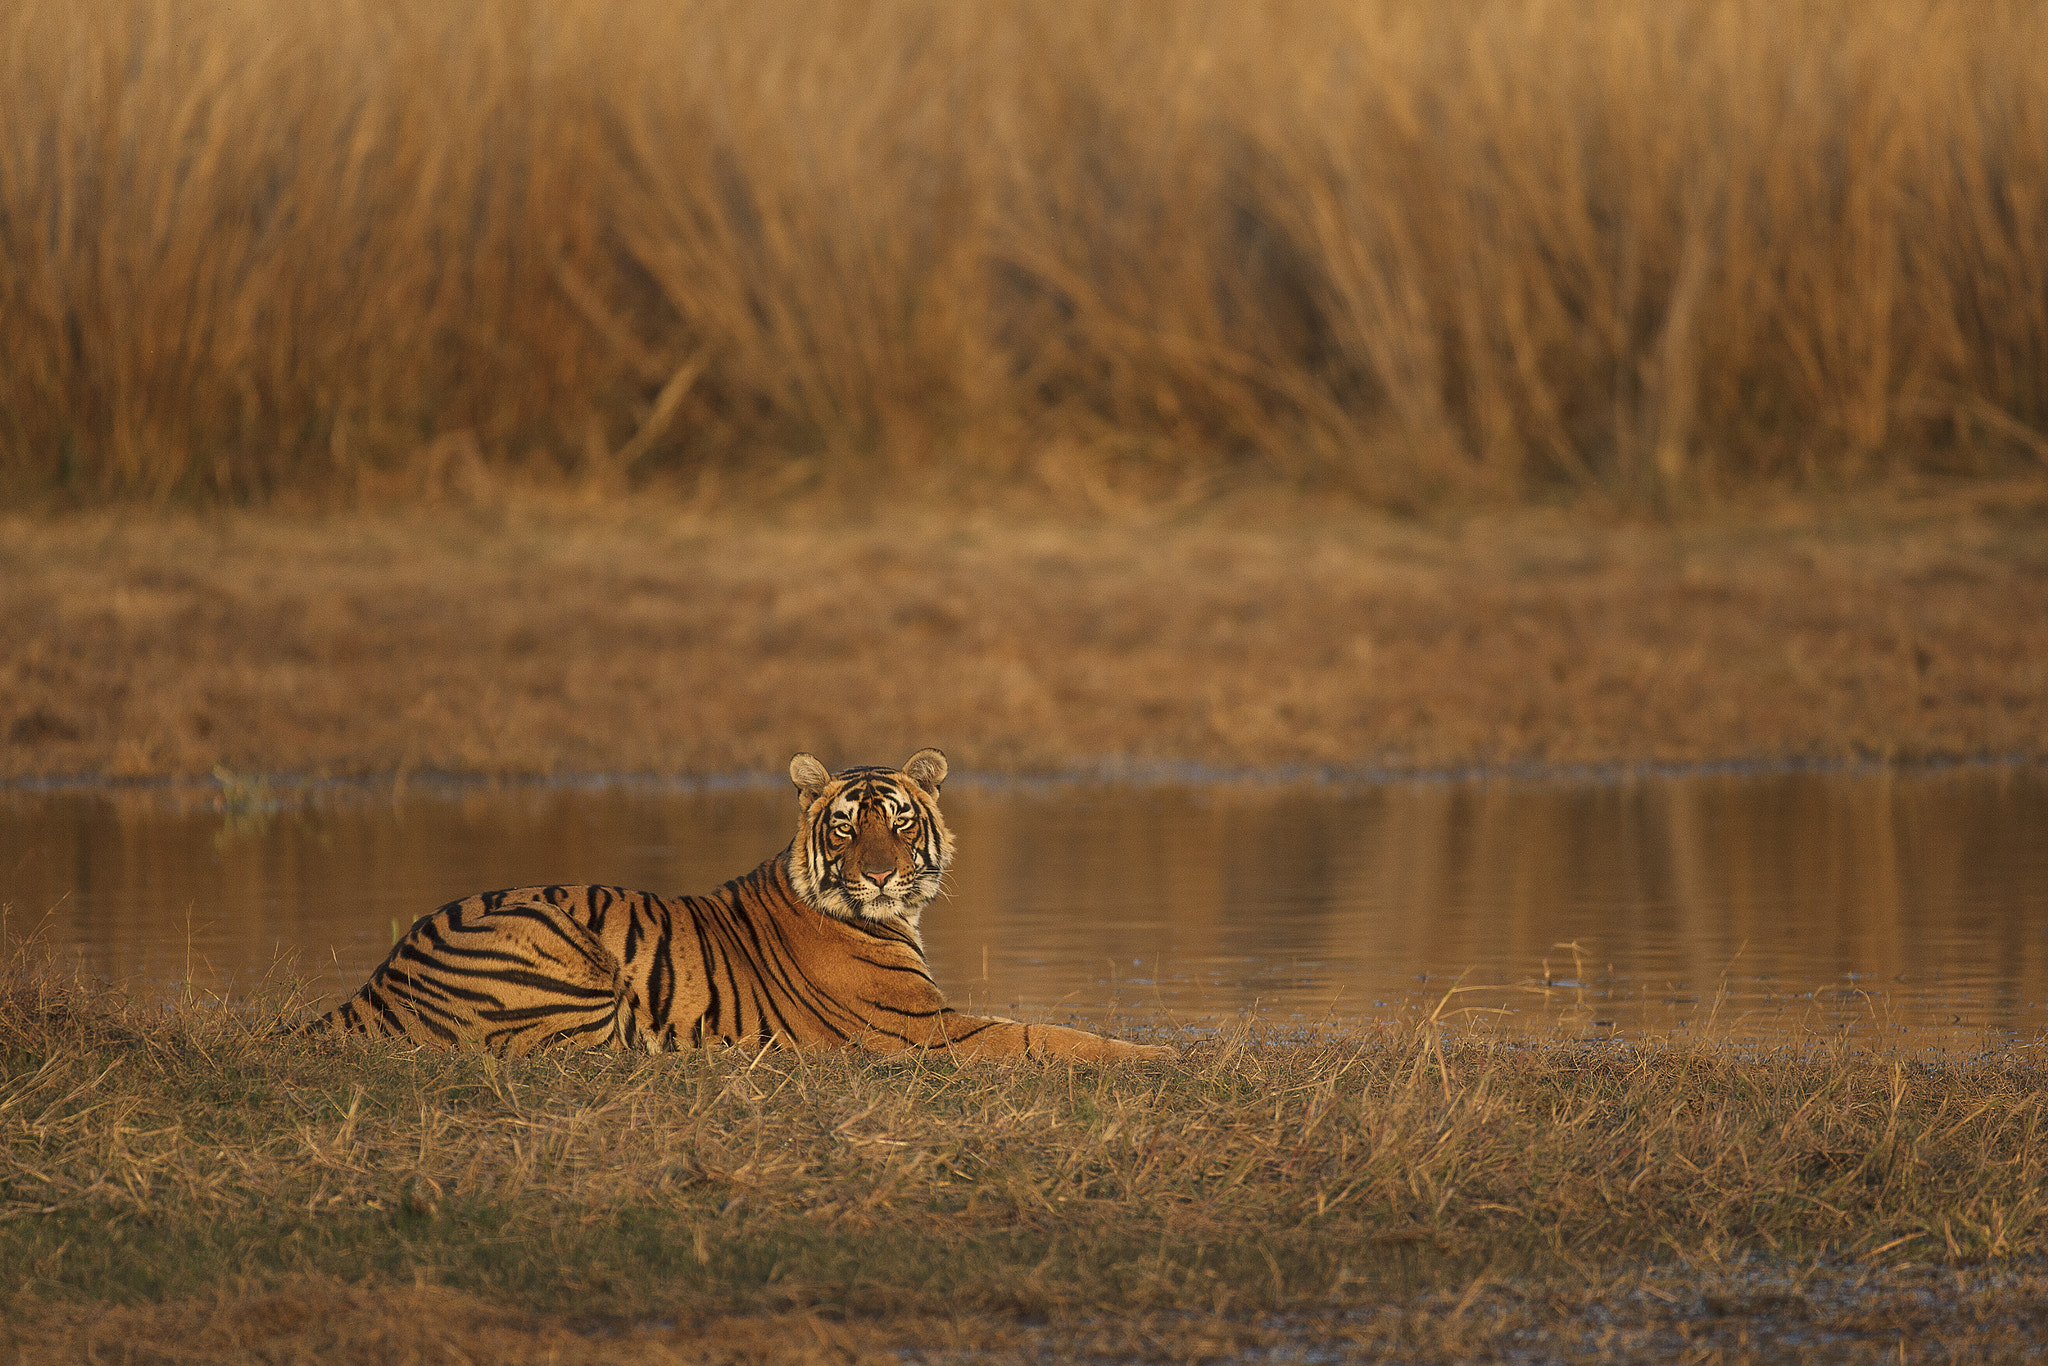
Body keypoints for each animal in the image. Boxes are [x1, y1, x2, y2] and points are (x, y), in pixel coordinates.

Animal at [298, 749, 1175, 1062]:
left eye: (899, 822)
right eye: (847, 827)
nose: (880, 876)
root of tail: (376, 981)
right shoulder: (924, 1030)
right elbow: (1045, 1035)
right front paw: (1165, 1058)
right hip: (564, 950)